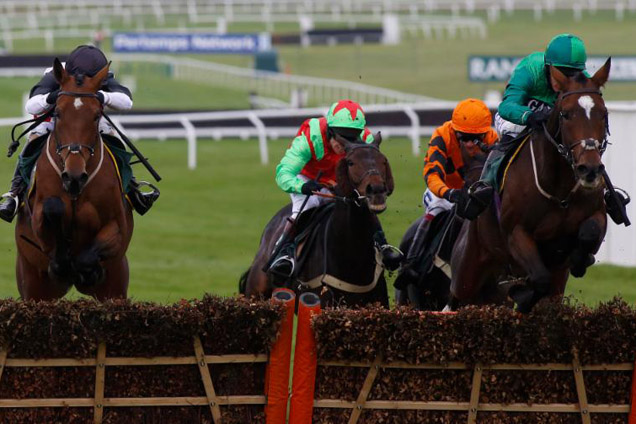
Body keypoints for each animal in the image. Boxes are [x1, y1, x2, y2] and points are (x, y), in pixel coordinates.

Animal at [15, 58, 134, 302]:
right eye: (58, 113)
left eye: (96, 115)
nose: (74, 176)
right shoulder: (37, 218)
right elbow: (52, 207)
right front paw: (61, 263)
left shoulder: (117, 227)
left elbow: (88, 256)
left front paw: (86, 270)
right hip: (32, 285)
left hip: (116, 285)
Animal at [450, 58, 612, 312]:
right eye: (566, 114)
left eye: (603, 114)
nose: (590, 169)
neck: (559, 190)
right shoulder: (516, 233)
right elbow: (539, 278)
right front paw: (523, 295)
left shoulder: (597, 215)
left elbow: (589, 233)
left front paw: (580, 258)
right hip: (467, 271)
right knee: (457, 296)